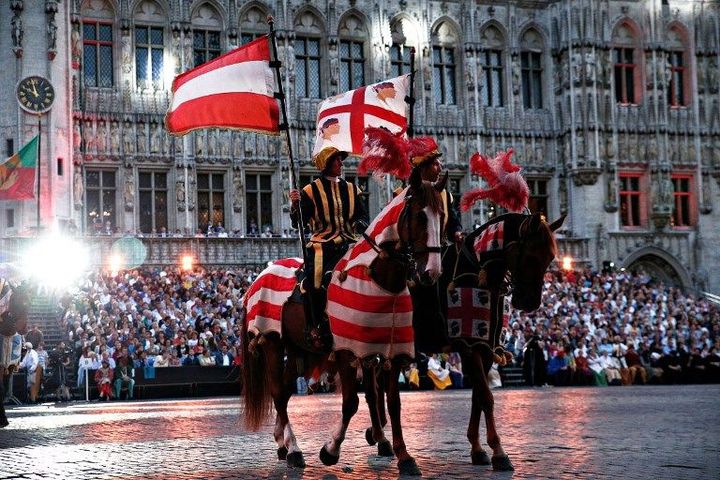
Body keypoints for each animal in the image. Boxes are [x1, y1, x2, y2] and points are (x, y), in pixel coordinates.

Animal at [242, 168, 444, 472]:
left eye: (441, 214)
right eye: (420, 215)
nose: (431, 272)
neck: (378, 279)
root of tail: (260, 277)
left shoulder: (388, 351)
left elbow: (390, 401)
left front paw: (403, 456)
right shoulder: (347, 351)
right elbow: (351, 402)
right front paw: (330, 450)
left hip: (299, 349)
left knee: (285, 393)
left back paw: (283, 444)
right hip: (272, 343)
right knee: (278, 392)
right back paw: (294, 450)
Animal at [362, 212, 564, 470]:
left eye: (550, 257)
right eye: (530, 254)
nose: (529, 302)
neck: (477, 275)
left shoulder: (485, 349)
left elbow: (478, 396)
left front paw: (478, 449)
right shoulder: (470, 347)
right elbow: (486, 397)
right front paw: (499, 452)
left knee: (379, 387)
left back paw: (379, 436)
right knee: (380, 392)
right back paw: (397, 450)